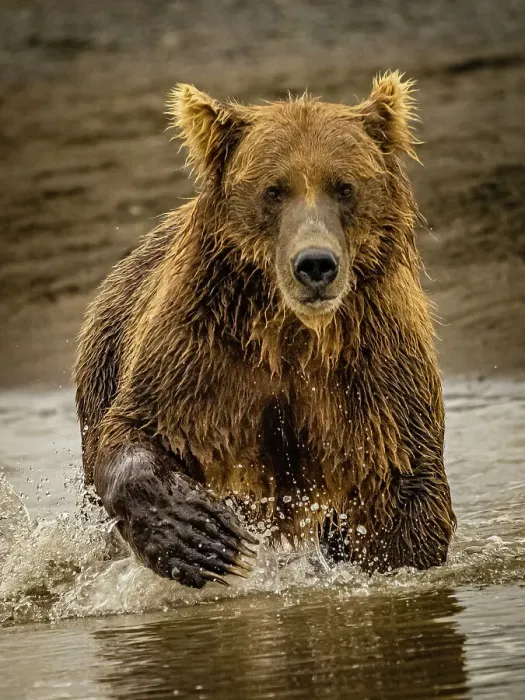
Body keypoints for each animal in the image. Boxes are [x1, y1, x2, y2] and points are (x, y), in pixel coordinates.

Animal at [75, 72, 456, 589]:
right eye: (274, 190)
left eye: (344, 186)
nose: (315, 265)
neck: (295, 335)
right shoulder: (200, 353)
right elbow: (134, 430)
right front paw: (202, 536)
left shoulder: (377, 369)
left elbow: (404, 483)